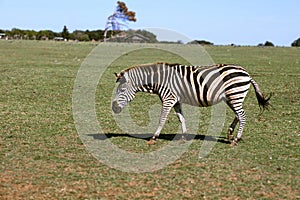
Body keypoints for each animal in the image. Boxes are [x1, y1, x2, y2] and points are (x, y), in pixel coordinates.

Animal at [111, 62, 270, 145]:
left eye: (122, 89)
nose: (114, 108)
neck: (159, 81)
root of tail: (247, 74)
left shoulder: (168, 99)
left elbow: (162, 118)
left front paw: (154, 137)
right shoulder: (176, 100)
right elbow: (181, 118)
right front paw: (184, 136)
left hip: (235, 95)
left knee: (242, 115)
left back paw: (236, 139)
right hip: (233, 97)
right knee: (238, 115)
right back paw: (230, 133)